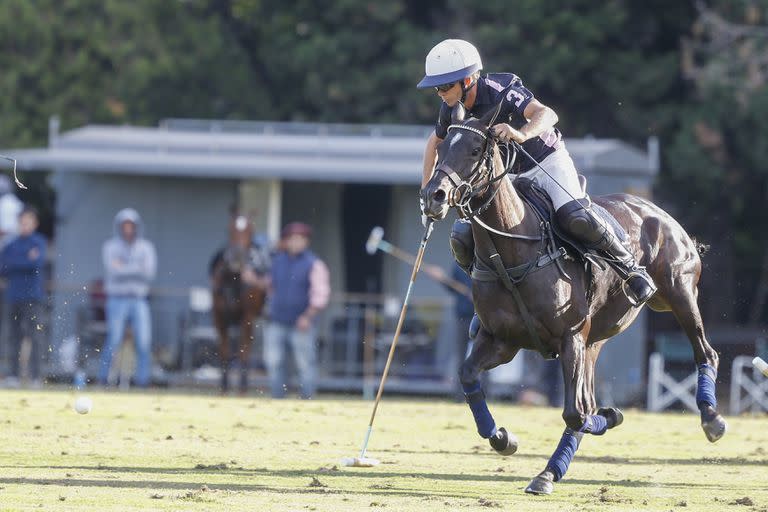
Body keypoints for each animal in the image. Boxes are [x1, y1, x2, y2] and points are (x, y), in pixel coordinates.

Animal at [210, 212, 270, 392]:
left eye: (250, 229)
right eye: (229, 228)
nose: (237, 259)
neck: (233, 279)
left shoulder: (247, 318)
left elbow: (244, 352)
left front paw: (242, 387)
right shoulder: (219, 317)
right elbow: (224, 351)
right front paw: (223, 387)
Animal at [420, 106, 728, 494]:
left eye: (476, 150)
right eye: (443, 146)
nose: (435, 196)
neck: (513, 249)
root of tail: (656, 209)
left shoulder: (570, 337)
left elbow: (574, 412)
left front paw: (609, 416)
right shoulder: (502, 340)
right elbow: (468, 377)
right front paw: (503, 438)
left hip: (679, 292)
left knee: (705, 352)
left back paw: (712, 418)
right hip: (596, 337)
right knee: (587, 397)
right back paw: (551, 470)